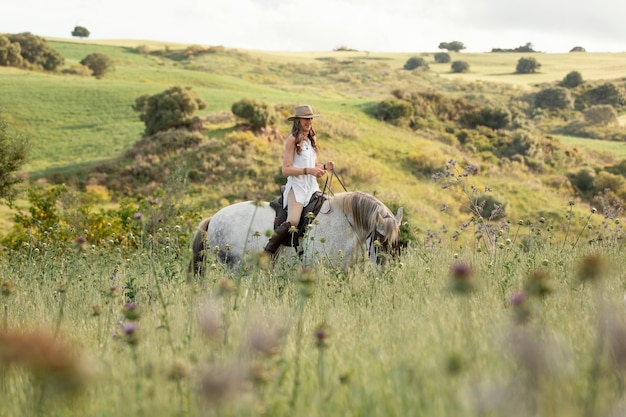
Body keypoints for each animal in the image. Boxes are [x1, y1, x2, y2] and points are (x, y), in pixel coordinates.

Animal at [190, 190, 402, 272]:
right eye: (379, 239)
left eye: (395, 243)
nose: (385, 270)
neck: (344, 222)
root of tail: (213, 219)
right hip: (234, 266)